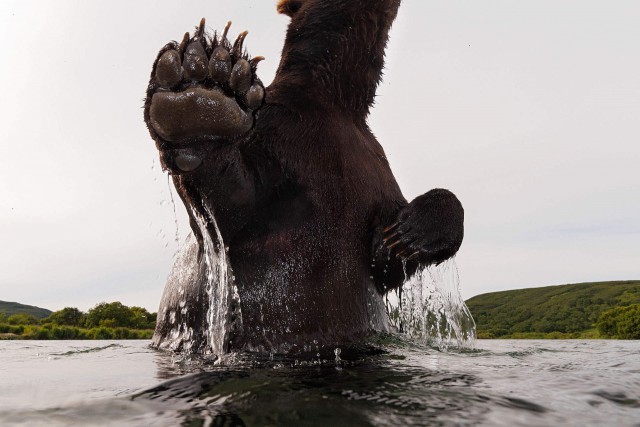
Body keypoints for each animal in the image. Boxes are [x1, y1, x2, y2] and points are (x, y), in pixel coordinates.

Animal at [144, 0, 464, 354]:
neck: (336, 98)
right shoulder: (274, 127)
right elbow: (230, 211)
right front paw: (205, 98)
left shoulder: (373, 170)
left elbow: (384, 260)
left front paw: (409, 232)